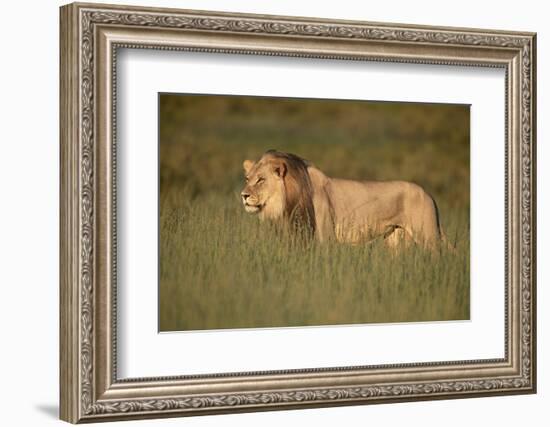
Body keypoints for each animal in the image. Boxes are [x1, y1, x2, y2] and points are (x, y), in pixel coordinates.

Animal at [242, 151, 452, 249]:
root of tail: (428, 194)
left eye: (261, 180)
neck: (286, 202)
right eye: (247, 179)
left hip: (428, 237)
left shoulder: (324, 237)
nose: (243, 196)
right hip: (396, 240)